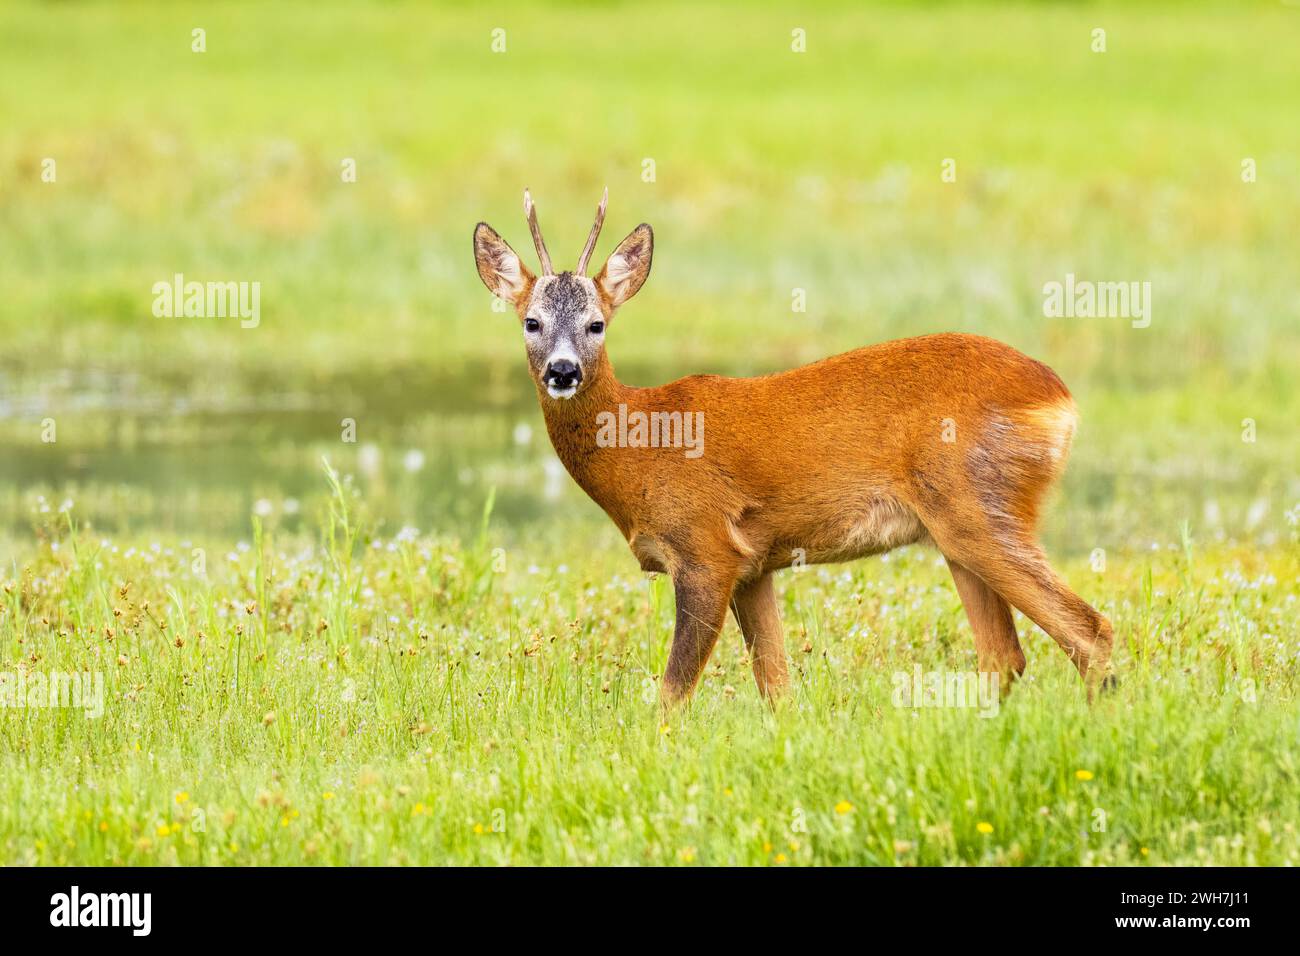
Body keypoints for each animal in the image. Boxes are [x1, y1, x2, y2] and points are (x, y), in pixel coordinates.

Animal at [473, 189, 1114, 709]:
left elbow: (673, 694)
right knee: (1004, 656)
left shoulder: (706, 549)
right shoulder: (754, 565)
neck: (641, 444)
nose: (562, 371)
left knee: (1089, 630)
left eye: (597, 324)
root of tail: (1060, 398)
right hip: (956, 531)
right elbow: (777, 688)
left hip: (981, 504)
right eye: (531, 322)